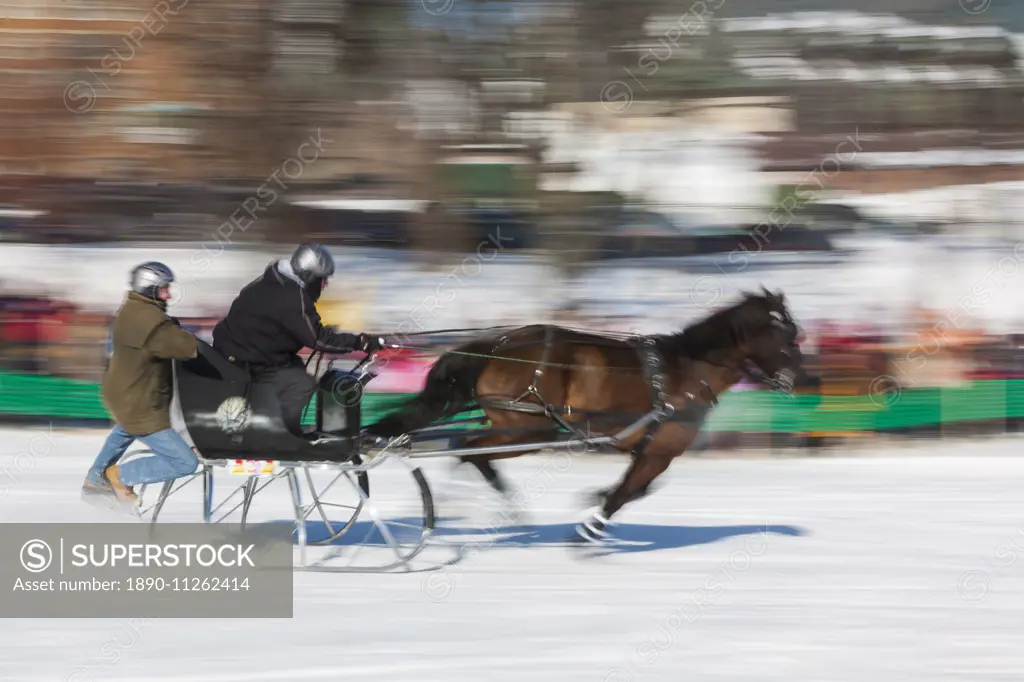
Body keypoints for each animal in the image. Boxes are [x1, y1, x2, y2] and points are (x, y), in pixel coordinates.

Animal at [364, 288, 802, 544]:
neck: (687, 372)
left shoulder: (646, 449)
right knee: (470, 448)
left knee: (467, 450)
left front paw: (593, 498)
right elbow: (627, 493)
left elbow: (636, 488)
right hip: (528, 427)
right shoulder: (661, 450)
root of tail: (497, 345)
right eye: (788, 335)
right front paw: (589, 528)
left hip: (522, 428)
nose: (802, 377)